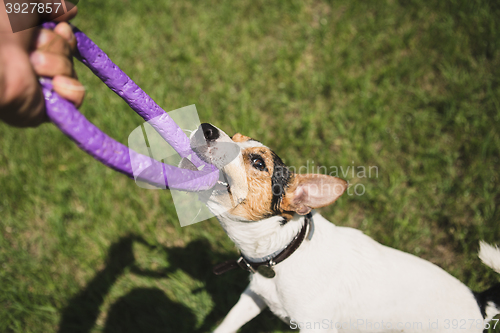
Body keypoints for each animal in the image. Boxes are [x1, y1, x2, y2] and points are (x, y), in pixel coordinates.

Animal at [184, 123, 500, 330]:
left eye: (258, 162)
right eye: (234, 135)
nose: (207, 128)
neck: (286, 250)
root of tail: (479, 301)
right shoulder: (253, 298)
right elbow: (227, 323)